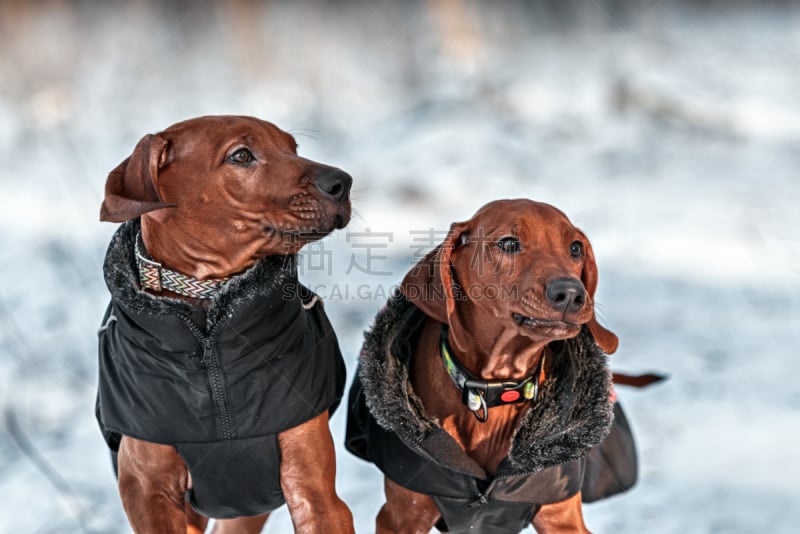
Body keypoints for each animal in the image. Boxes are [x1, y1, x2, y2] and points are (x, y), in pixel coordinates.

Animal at [346, 200, 640, 534]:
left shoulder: (563, 518)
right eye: (509, 243)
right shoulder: (401, 517)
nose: (571, 294)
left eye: (575, 247)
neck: (497, 387)